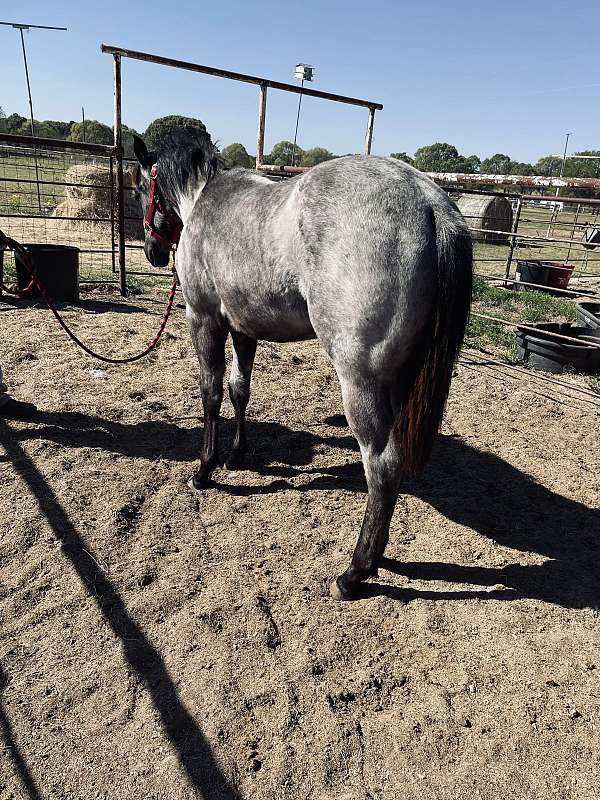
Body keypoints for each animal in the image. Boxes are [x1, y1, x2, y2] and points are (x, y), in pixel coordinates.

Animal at [132, 129, 472, 600]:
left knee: (382, 465)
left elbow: (211, 392)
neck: (204, 198)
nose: (152, 252)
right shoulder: (244, 329)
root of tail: (430, 203)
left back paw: (355, 572)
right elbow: (240, 390)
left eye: (137, 188)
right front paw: (236, 455)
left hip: (360, 381)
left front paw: (205, 469)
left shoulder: (203, 320)